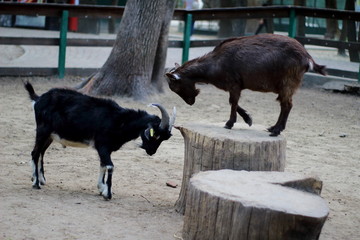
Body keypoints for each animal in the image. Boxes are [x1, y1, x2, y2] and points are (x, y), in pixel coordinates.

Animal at [23, 82, 176, 199]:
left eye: (165, 137)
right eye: (156, 135)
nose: (151, 151)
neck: (119, 121)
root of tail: (38, 99)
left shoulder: (106, 149)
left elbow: (102, 165)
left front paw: (101, 187)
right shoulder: (102, 145)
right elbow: (109, 166)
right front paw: (107, 193)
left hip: (50, 135)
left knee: (41, 152)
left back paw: (40, 179)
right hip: (42, 131)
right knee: (35, 152)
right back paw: (36, 183)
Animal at [166, 33, 326, 136]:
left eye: (176, 87)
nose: (190, 102)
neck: (215, 64)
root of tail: (307, 57)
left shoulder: (234, 83)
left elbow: (232, 102)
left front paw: (229, 123)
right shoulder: (236, 85)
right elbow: (234, 102)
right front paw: (248, 119)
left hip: (288, 82)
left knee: (287, 105)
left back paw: (276, 131)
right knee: (284, 104)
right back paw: (273, 128)